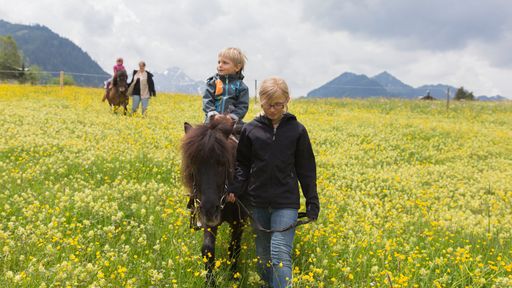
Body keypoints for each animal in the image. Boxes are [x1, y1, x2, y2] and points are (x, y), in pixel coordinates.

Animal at [182, 115, 248, 286]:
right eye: (193, 165)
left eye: (222, 163)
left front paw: (234, 277)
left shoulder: (239, 221)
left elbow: (234, 247)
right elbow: (207, 249)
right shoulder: (208, 221)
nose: (210, 210)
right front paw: (210, 282)